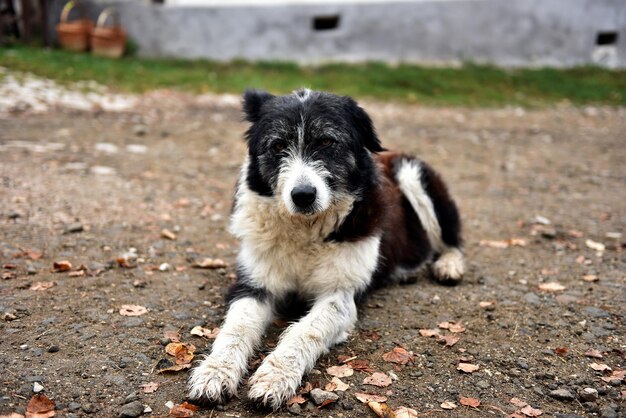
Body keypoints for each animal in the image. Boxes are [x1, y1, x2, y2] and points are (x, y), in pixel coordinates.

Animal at [188, 88, 460, 408]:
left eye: (327, 142)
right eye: (278, 145)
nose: (303, 195)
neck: (305, 230)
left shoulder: (340, 294)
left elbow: (305, 330)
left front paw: (275, 378)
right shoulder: (253, 285)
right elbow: (236, 328)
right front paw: (214, 373)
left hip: (414, 175)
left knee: (451, 241)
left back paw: (448, 266)